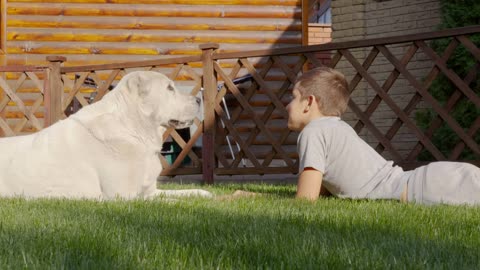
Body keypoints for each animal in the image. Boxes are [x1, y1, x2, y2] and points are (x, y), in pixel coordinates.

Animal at [0, 70, 212, 199]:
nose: (198, 99)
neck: (133, 129)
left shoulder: (149, 191)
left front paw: (204, 194)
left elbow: (184, 193)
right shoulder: (126, 197)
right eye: (169, 88)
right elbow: (169, 202)